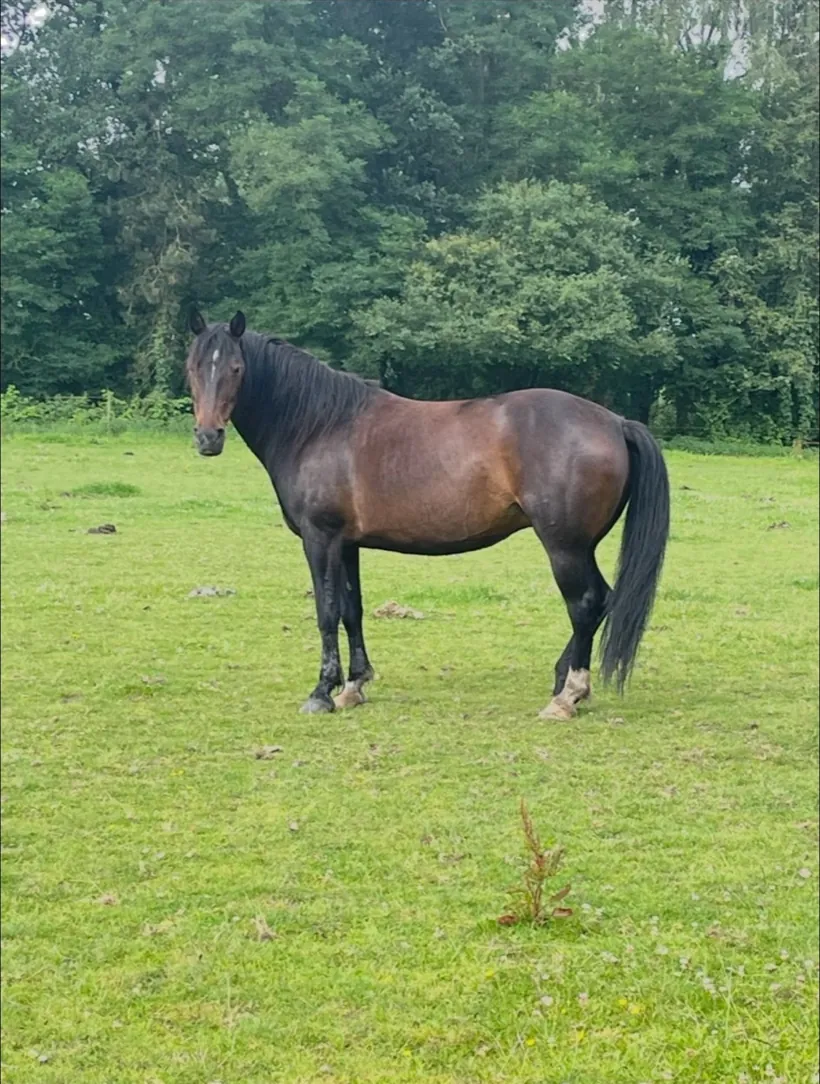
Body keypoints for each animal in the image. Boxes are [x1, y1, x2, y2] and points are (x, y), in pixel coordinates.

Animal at [185, 309, 670, 719]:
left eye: (236, 369)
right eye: (193, 367)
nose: (208, 438)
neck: (321, 427)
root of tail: (615, 422)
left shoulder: (319, 538)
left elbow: (326, 611)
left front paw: (321, 692)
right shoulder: (347, 543)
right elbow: (351, 609)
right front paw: (353, 687)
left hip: (564, 546)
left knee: (586, 604)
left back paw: (567, 696)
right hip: (580, 547)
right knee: (601, 600)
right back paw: (563, 683)